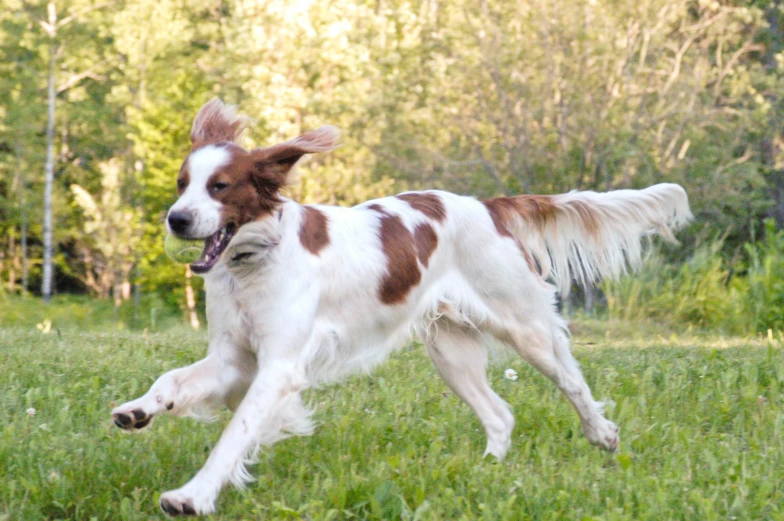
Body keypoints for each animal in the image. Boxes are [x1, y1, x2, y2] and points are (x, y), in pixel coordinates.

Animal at [112, 98, 692, 516]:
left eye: (220, 186)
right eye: (181, 185)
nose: (176, 219)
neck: (253, 262)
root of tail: (488, 206)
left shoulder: (277, 368)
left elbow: (234, 435)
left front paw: (192, 495)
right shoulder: (234, 357)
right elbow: (170, 380)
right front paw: (138, 410)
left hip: (524, 326)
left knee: (571, 381)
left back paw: (602, 435)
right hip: (451, 351)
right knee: (501, 414)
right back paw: (484, 472)